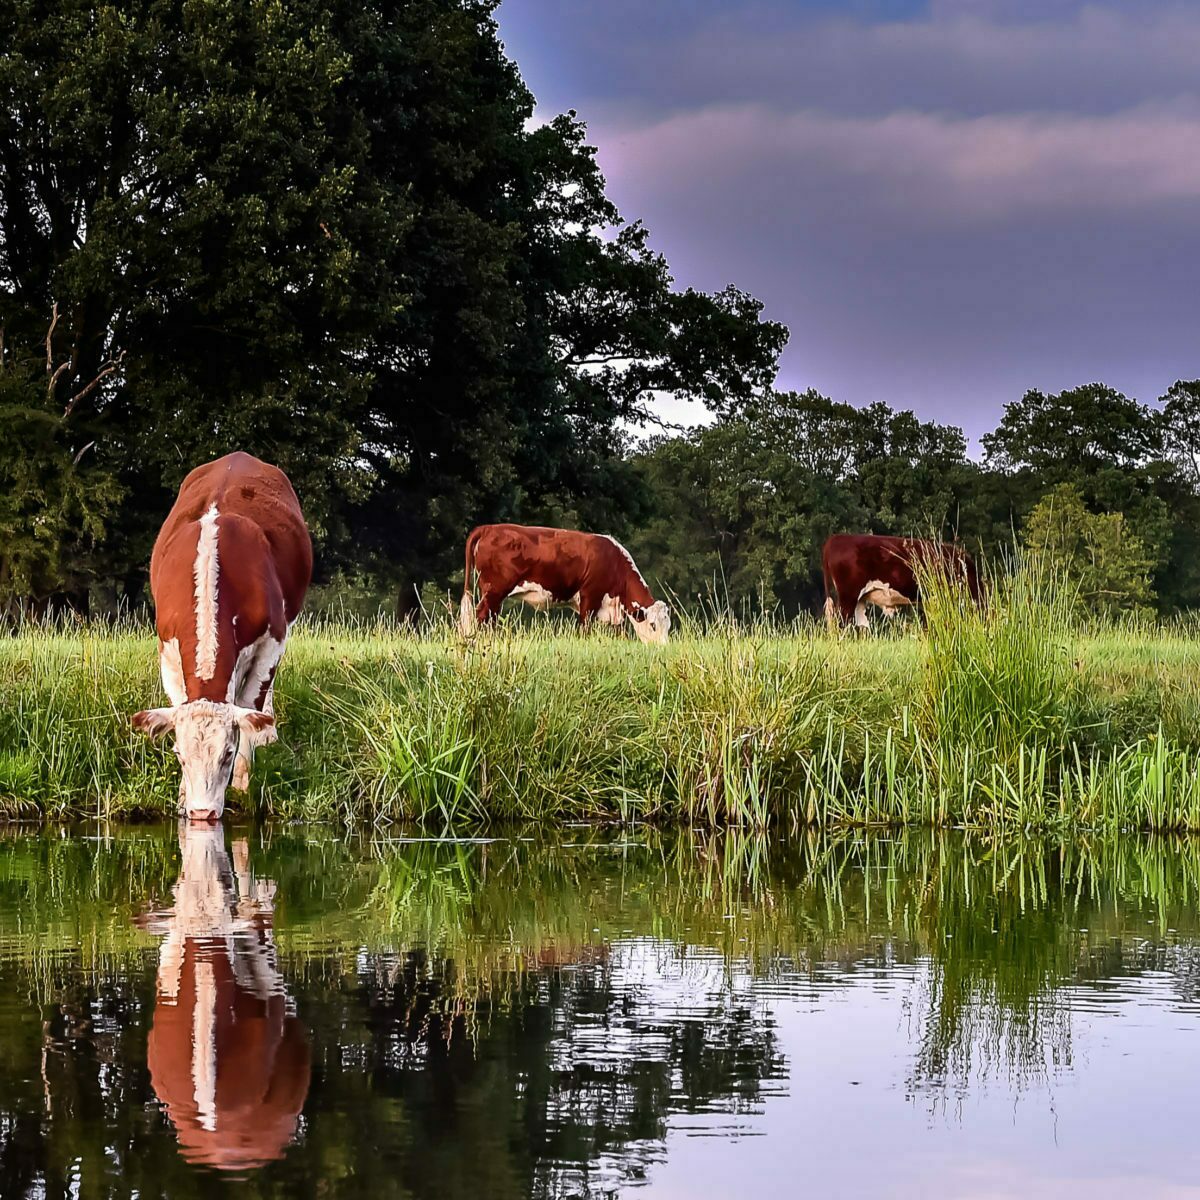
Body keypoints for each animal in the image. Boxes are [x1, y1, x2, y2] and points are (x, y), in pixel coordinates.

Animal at [130, 453, 314, 820]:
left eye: (227, 753)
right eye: (179, 754)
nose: (203, 814)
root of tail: (239, 456)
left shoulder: (272, 641)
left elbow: (251, 709)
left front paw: (243, 784)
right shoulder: (167, 649)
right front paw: (183, 797)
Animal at [456, 520, 672, 643]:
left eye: (668, 626)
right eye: (653, 624)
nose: (662, 648)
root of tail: (488, 528)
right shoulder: (589, 597)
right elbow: (585, 627)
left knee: (489, 617)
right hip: (494, 590)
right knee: (482, 615)